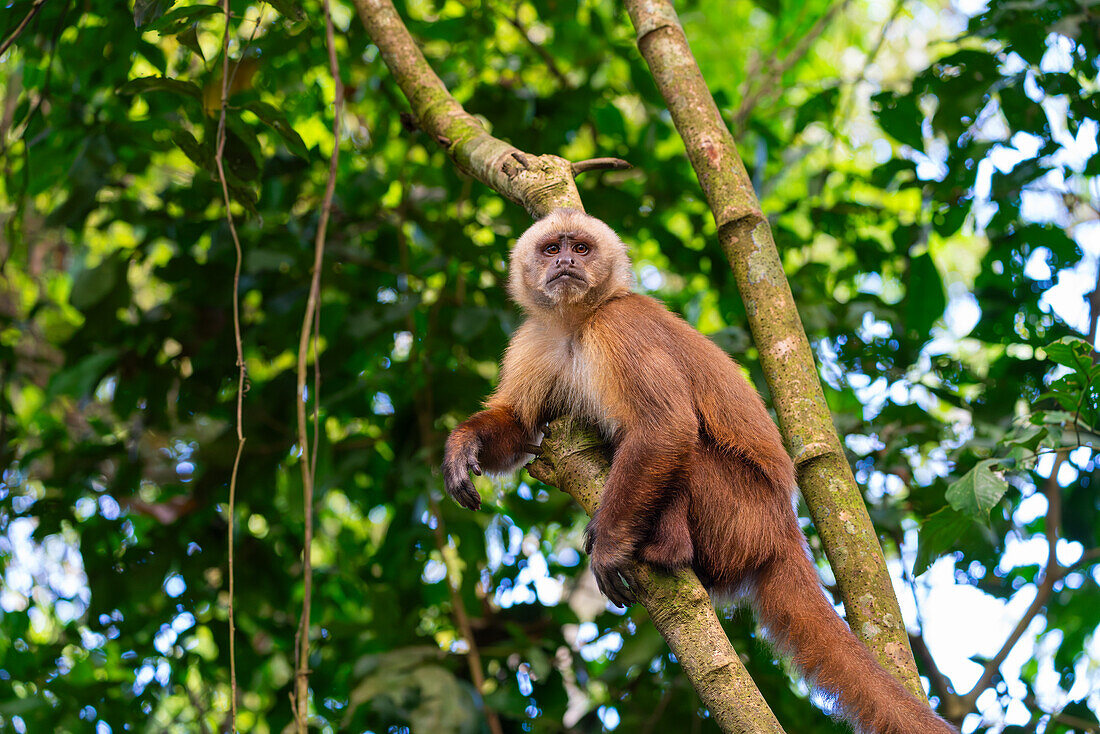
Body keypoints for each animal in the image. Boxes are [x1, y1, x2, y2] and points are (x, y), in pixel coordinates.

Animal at [442, 207, 959, 734]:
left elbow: (665, 429)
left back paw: (667, 548)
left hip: (742, 511)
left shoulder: (618, 325)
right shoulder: (536, 338)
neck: (577, 323)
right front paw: (464, 446)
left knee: (680, 451)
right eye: (552, 250)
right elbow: (518, 425)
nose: (566, 262)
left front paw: (608, 548)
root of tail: (786, 528)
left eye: (581, 248)